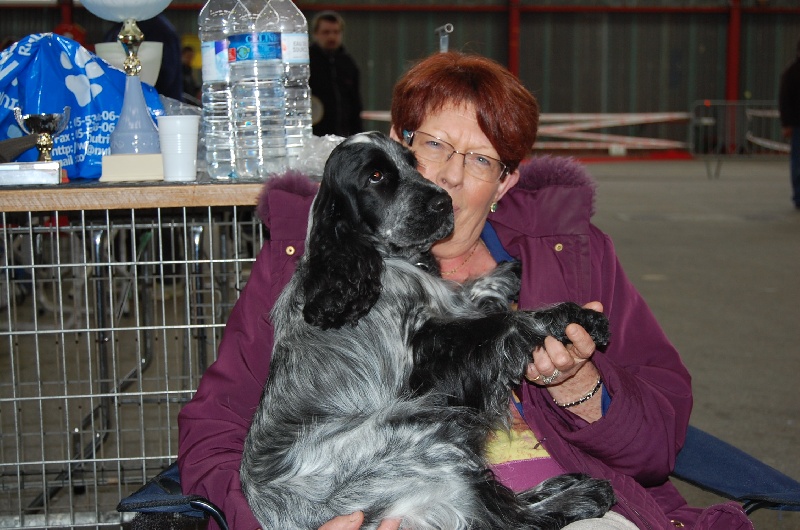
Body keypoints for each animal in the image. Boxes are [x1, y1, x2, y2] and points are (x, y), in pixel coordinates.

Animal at [241, 132, 616, 528]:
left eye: (413, 162)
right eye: (375, 176)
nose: (443, 200)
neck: (372, 261)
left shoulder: (448, 307)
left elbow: (476, 289)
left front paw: (513, 268)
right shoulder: (427, 362)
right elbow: (509, 322)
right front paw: (578, 317)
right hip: (426, 436)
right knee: (506, 516)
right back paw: (586, 493)